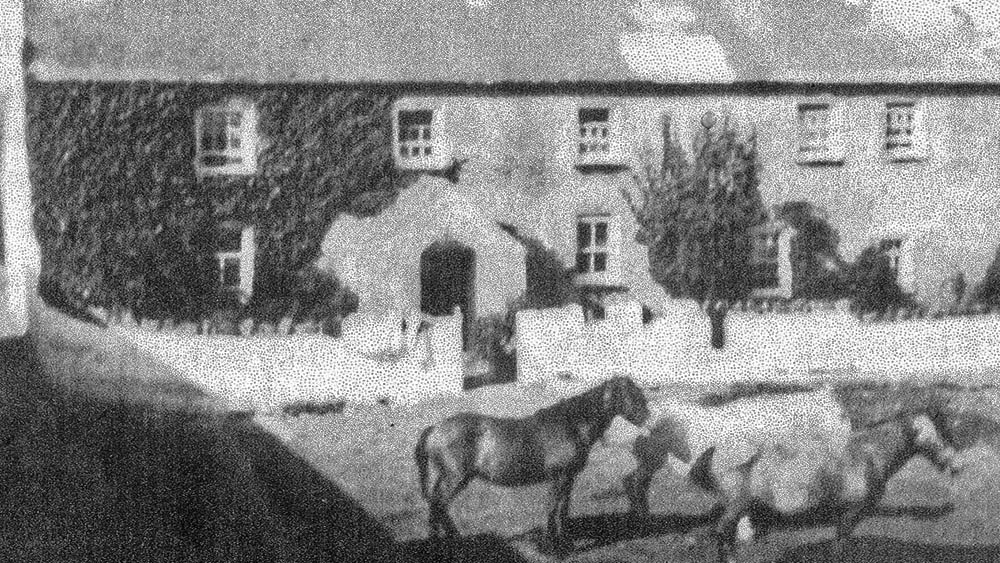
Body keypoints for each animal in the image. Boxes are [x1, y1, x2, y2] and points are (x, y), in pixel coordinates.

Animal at [412, 376, 652, 552]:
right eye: (631, 395)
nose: (648, 420)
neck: (571, 424)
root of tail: (435, 428)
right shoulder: (558, 476)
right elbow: (552, 508)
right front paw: (552, 547)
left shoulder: (569, 477)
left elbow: (563, 510)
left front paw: (564, 543)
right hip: (455, 478)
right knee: (439, 504)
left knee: (436, 505)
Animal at [692, 406, 964, 563]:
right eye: (939, 435)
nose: (958, 466)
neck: (867, 455)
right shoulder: (852, 511)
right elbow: (840, 544)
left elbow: (840, 542)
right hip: (735, 507)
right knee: (720, 534)